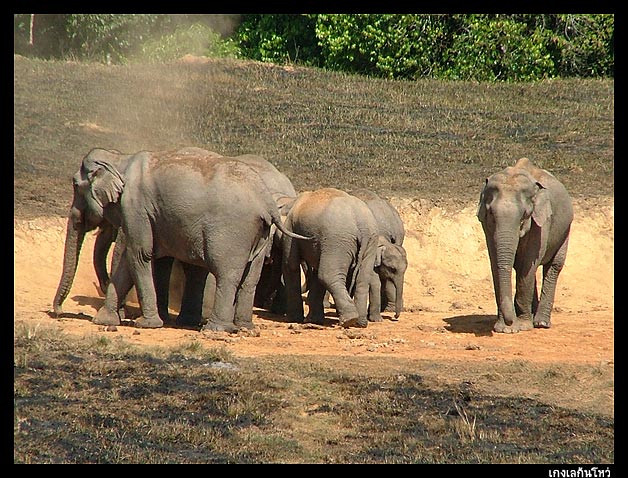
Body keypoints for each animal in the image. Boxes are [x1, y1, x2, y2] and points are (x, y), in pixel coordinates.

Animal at [52, 147, 310, 332]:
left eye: (75, 185)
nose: (58, 312)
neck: (119, 158)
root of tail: (266, 200)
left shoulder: (136, 206)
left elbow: (139, 254)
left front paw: (146, 324)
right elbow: (130, 258)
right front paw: (103, 321)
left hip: (232, 232)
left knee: (227, 275)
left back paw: (215, 330)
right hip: (260, 234)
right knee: (249, 279)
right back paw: (245, 328)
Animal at [282, 187, 380, 328]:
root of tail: (362, 225)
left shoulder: (291, 226)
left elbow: (291, 265)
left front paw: (293, 319)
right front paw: (313, 320)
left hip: (337, 240)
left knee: (327, 275)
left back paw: (349, 320)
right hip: (370, 241)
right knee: (362, 279)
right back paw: (360, 323)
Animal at [476, 157, 576, 332]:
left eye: (525, 215)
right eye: (491, 215)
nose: (510, 322)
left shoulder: (541, 222)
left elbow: (527, 265)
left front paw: (522, 327)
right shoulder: (486, 227)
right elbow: (496, 263)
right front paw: (504, 329)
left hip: (566, 230)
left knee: (553, 266)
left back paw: (541, 323)